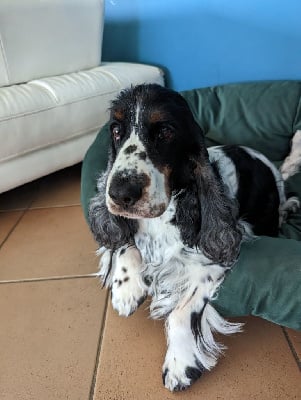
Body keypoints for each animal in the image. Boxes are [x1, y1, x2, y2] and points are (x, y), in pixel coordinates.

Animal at [88, 83, 298, 392]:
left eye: (165, 131)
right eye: (116, 130)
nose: (120, 193)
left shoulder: (213, 260)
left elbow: (180, 312)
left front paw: (180, 365)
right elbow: (124, 242)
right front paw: (126, 290)